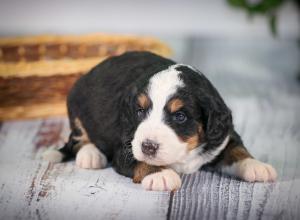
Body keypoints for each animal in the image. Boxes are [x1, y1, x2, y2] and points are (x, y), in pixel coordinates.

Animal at [43, 51, 278, 191]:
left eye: (180, 116)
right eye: (140, 111)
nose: (148, 146)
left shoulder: (222, 135)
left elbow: (236, 149)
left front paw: (256, 165)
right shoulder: (126, 147)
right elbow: (141, 160)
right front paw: (161, 174)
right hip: (76, 107)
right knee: (78, 138)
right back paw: (91, 155)